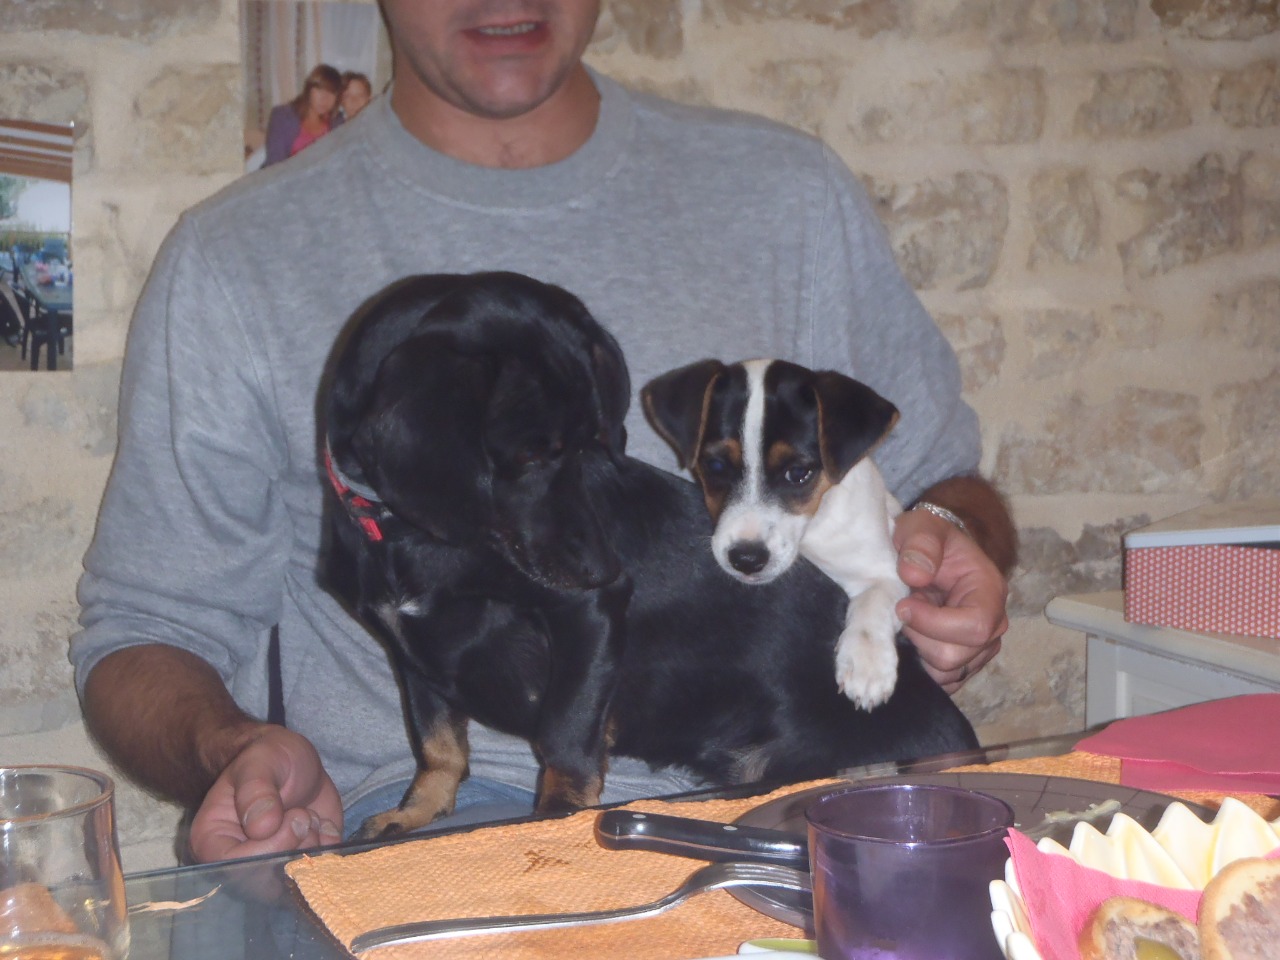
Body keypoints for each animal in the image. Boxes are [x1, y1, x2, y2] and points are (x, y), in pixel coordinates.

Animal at [642, 359, 909, 711]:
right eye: (715, 465)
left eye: (798, 473)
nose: (746, 559)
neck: (809, 532)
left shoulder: (885, 570)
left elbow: (873, 604)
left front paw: (867, 663)